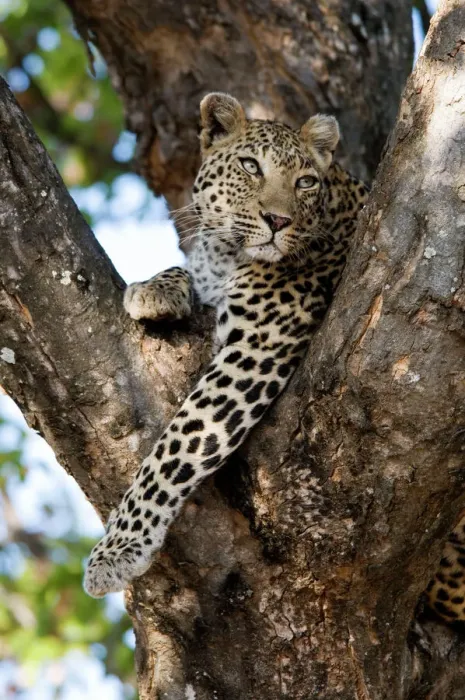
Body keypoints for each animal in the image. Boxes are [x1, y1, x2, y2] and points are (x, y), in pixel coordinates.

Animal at [83, 91, 371, 598]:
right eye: (250, 166)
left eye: (305, 182)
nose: (278, 220)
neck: (229, 255)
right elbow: (188, 271)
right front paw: (155, 290)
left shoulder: (255, 348)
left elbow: (175, 446)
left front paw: (118, 548)